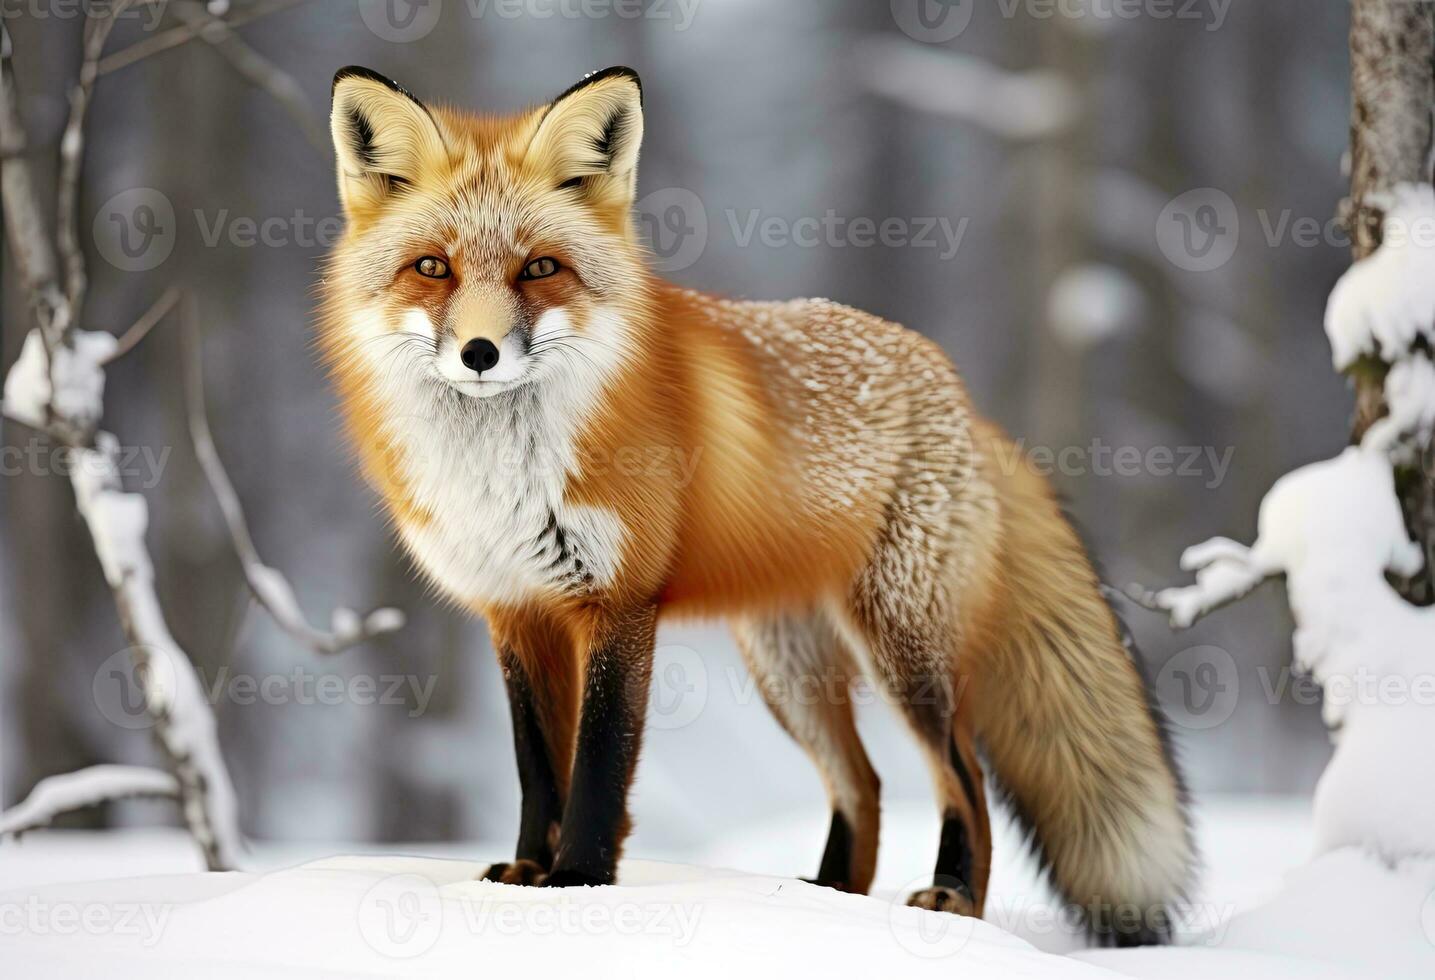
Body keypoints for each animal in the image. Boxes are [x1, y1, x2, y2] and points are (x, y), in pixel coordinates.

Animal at [320, 65, 1193, 946]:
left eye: (539, 269)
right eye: (432, 267)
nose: (479, 353)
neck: (502, 476)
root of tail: (963, 400)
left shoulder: (619, 604)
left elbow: (597, 770)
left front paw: (575, 886)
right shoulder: (515, 611)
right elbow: (539, 773)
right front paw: (526, 878)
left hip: (902, 651)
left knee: (963, 777)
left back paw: (952, 900)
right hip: (787, 666)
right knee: (864, 784)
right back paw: (829, 900)